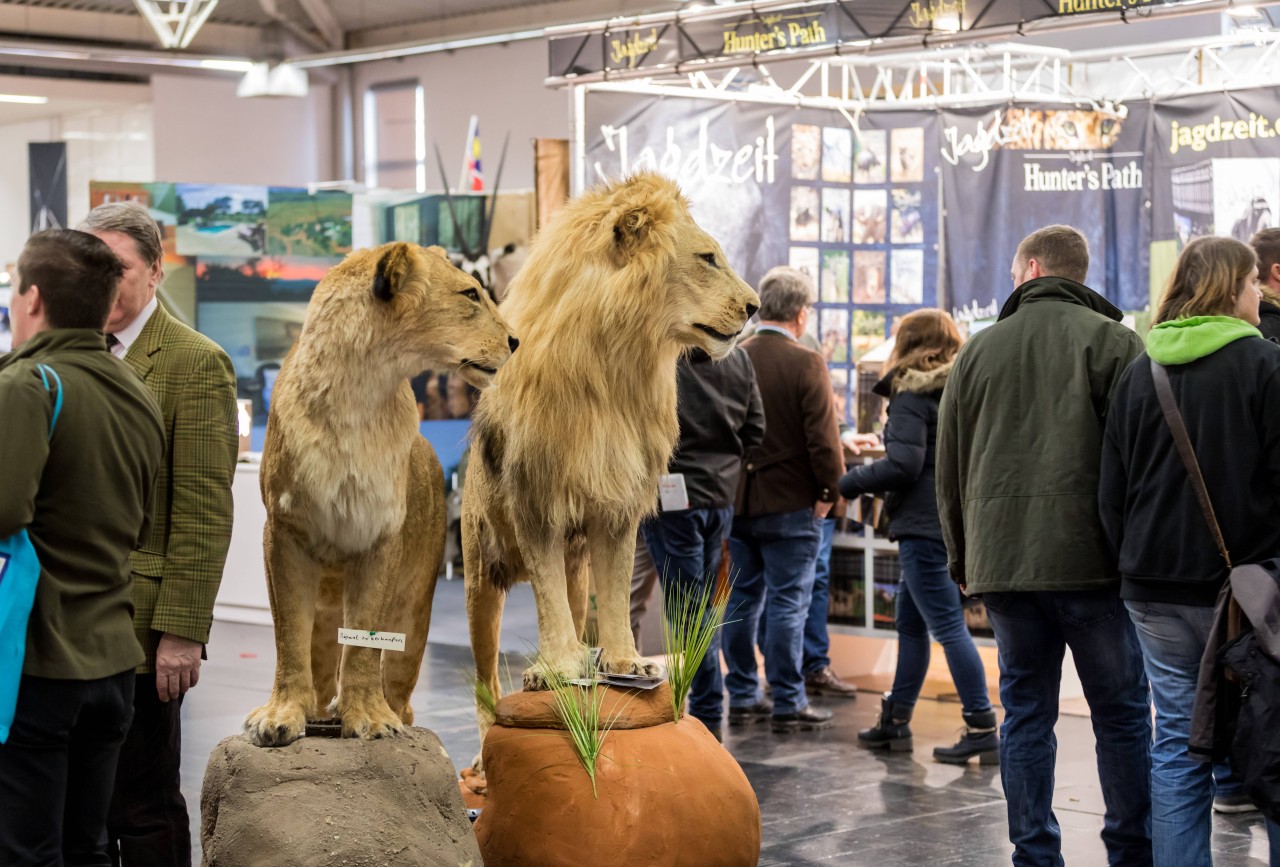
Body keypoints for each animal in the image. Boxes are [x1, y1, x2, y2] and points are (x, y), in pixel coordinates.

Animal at [244, 242, 514, 742]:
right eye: (470, 294)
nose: (516, 341)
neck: (356, 395)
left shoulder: (380, 535)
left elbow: (365, 638)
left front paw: (369, 717)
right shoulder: (284, 533)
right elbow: (288, 634)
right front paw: (281, 714)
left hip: (415, 611)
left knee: (402, 691)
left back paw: (381, 712)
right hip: (326, 610)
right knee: (321, 661)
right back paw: (322, 710)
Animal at [463, 172, 752, 753]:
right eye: (708, 258)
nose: (756, 307)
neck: (614, 362)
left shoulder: (618, 505)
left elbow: (616, 591)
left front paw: (625, 663)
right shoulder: (534, 501)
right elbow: (547, 599)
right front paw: (555, 670)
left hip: (577, 569)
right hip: (479, 575)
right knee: (484, 685)